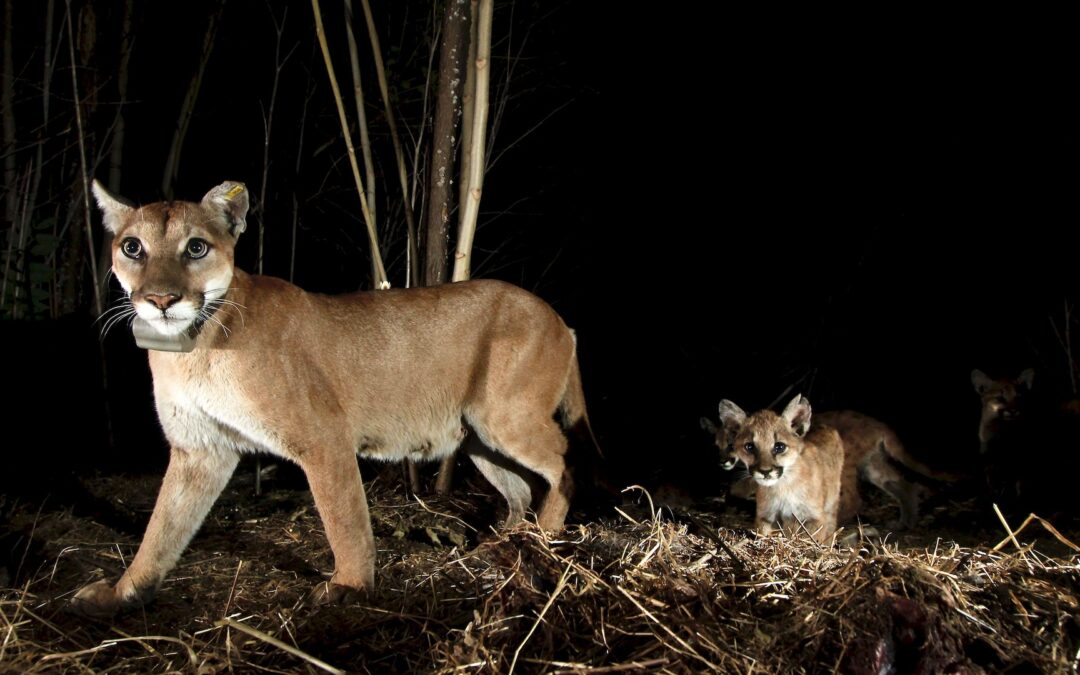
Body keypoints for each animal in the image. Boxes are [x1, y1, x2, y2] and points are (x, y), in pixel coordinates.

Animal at [69, 180, 591, 617]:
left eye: (196, 247)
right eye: (132, 247)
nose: (161, 300)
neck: (194, 347)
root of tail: (560, 318)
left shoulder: (324, 438)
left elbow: (345, 518)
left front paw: (350, 588)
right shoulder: (200, 449)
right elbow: (162, 529)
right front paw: (122, 593)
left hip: (506, 417)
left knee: (565, 462)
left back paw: (547, 536)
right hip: (479, 436)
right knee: (520, 488)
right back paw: (502, 546)